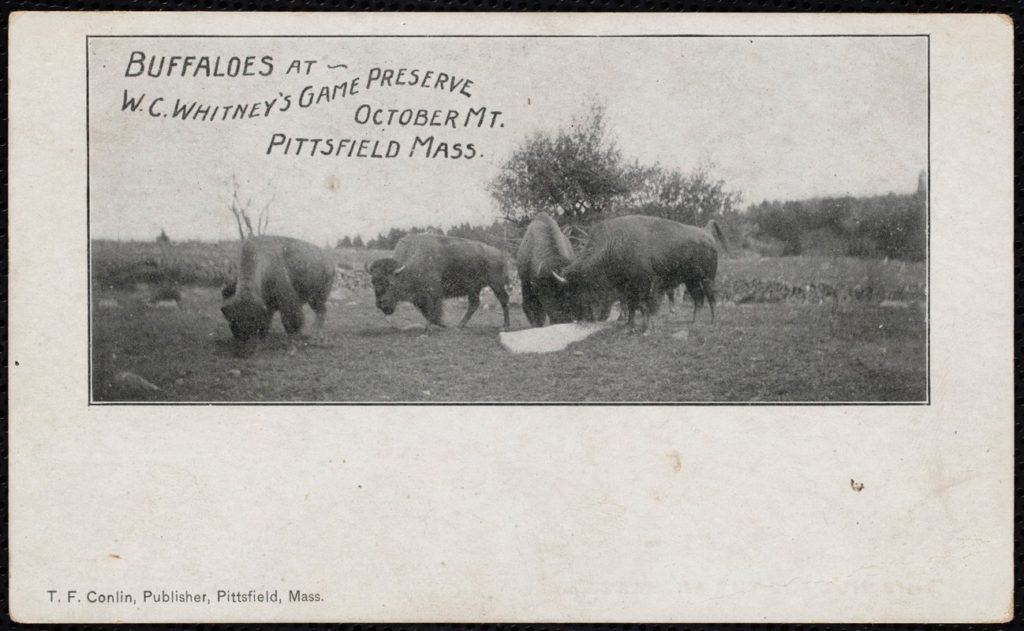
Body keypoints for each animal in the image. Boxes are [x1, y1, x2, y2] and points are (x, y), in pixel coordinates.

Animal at [368, 232, 512, 329]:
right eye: (373, 282)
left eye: (390, 283)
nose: (381, 304)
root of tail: (500, 254)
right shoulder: (420, 297)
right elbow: (427, 313)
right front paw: (443, 325)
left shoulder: (433, 293)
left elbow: (432, 311)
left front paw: (430, 330)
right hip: (474, 288)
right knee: (474, 304)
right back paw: (459, 325)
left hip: (496, 284)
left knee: (504, 299)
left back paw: (505, 325)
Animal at [557, 217, 724, 331]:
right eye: (572, 289)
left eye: (588, 283)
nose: (583, 318)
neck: (614, 244)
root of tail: (706, 233)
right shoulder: (627, 289)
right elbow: (632, 307)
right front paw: (628, 327)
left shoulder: (646, 285)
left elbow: (645, 306)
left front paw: (646, 330)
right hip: (691, 280)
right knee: (698, 299)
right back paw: (694, 322)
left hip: (707, 278)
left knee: (711, 298)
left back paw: (713, 322)